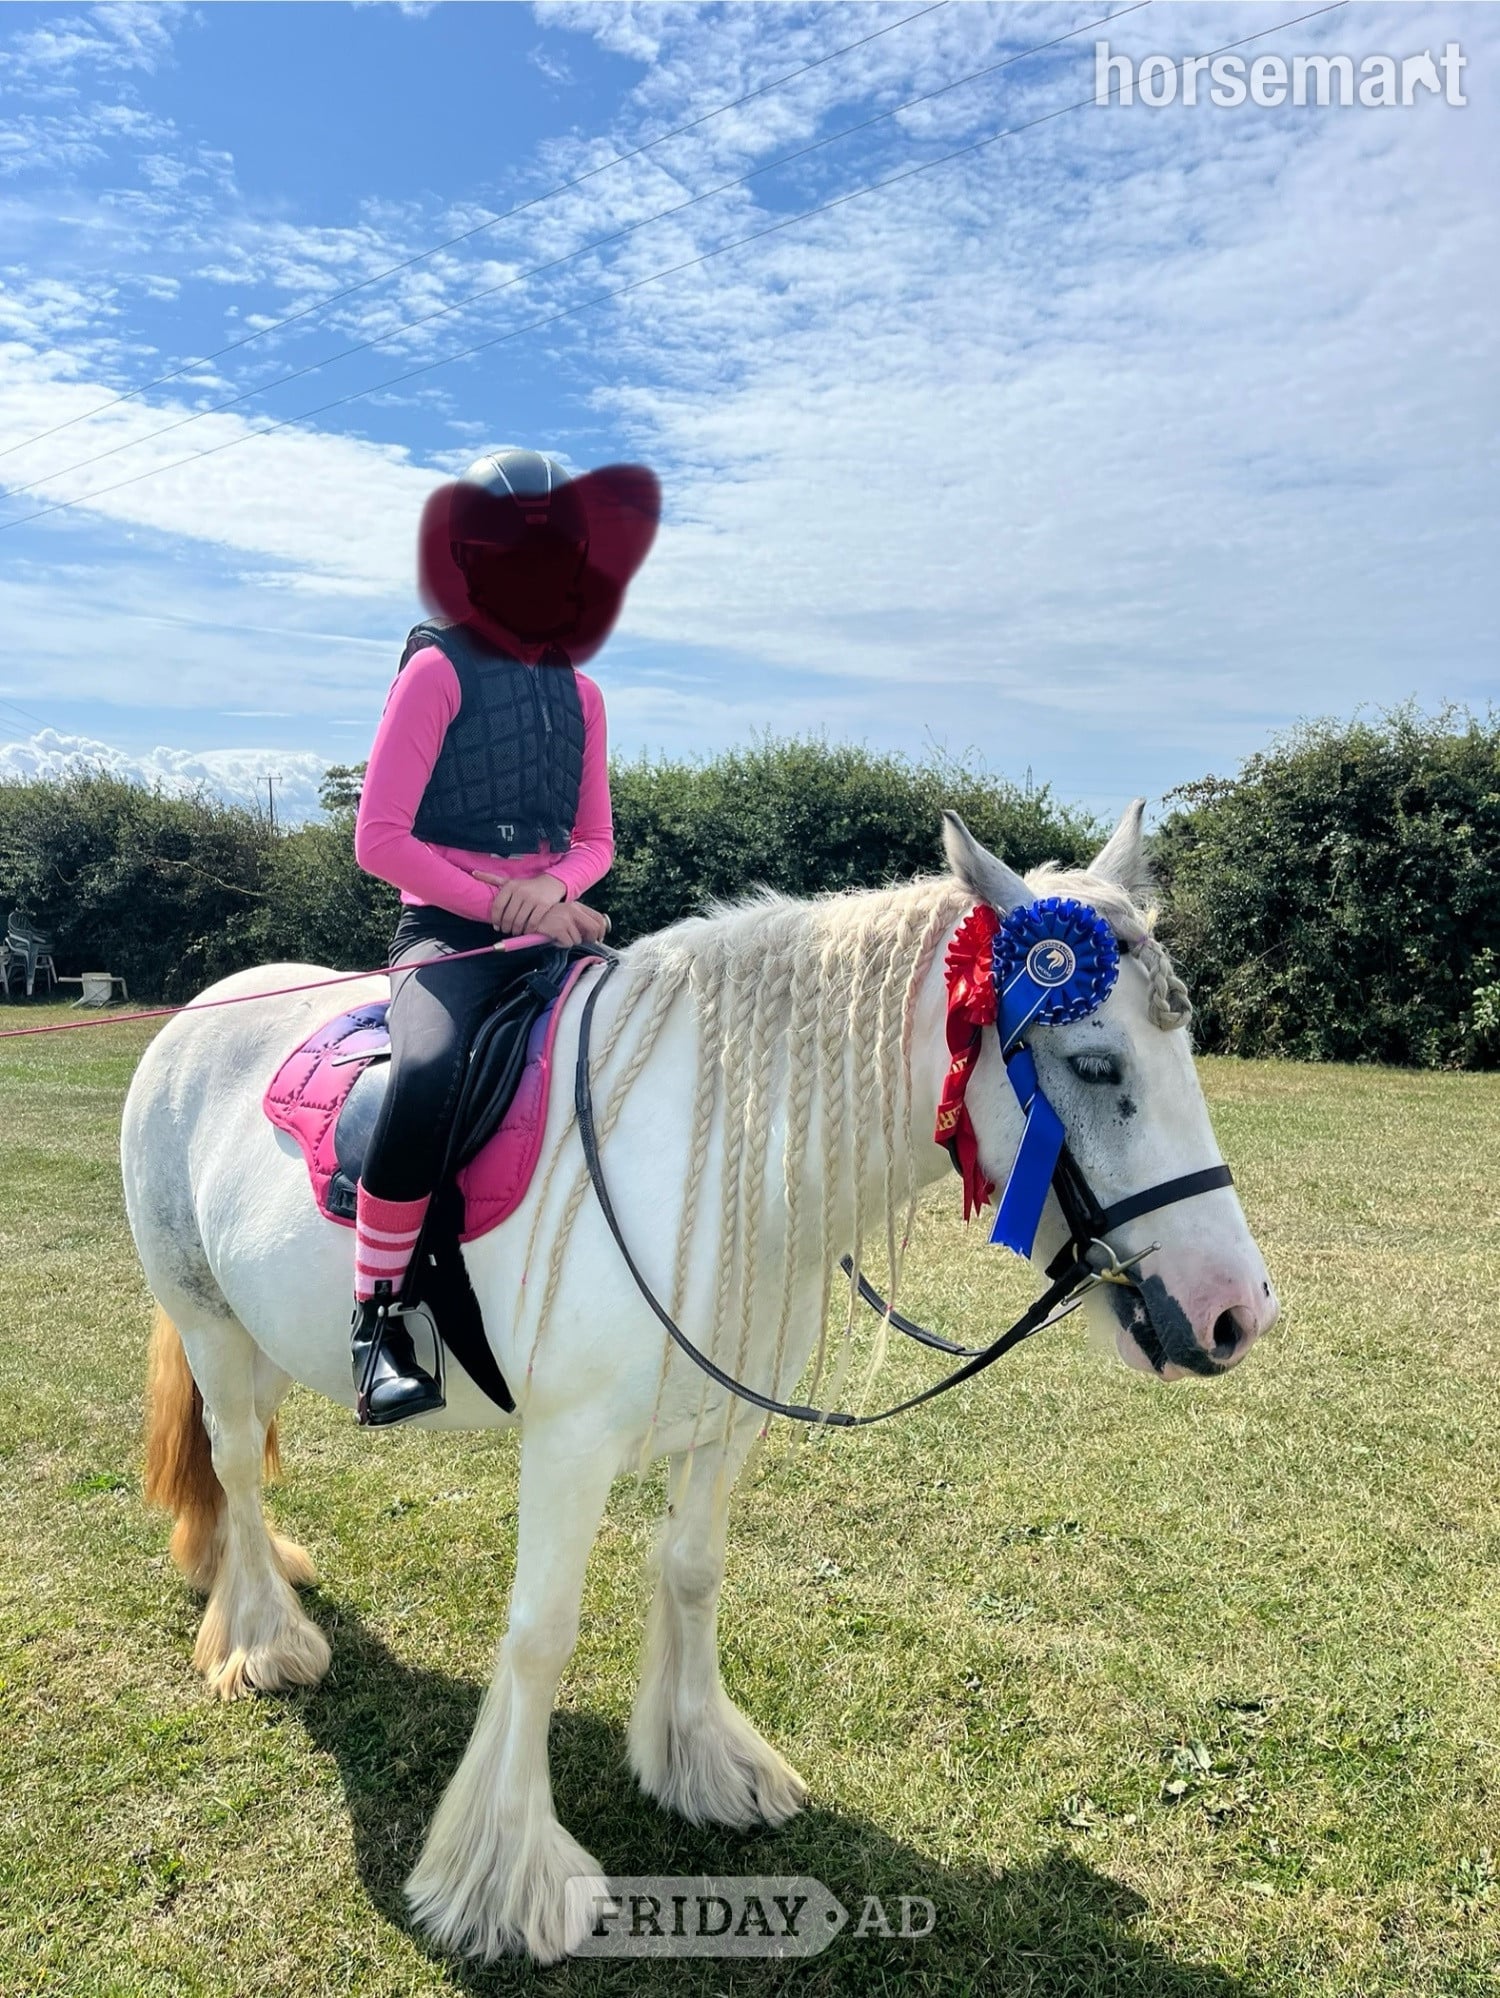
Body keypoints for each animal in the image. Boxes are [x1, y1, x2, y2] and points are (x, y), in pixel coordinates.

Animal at [123, 805, 1278, 1963]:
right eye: (1094, 1063)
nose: (1237, 1312)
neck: (719, 1160)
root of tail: (198, 1020)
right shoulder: (569, 1445)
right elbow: (540, 1635)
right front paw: (507, 1877)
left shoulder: (725, 1425)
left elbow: (691, 1573)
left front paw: (705, 1766)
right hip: (207, 1319)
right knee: (235, 1461)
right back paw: (265, 1640)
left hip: (266, 1336)